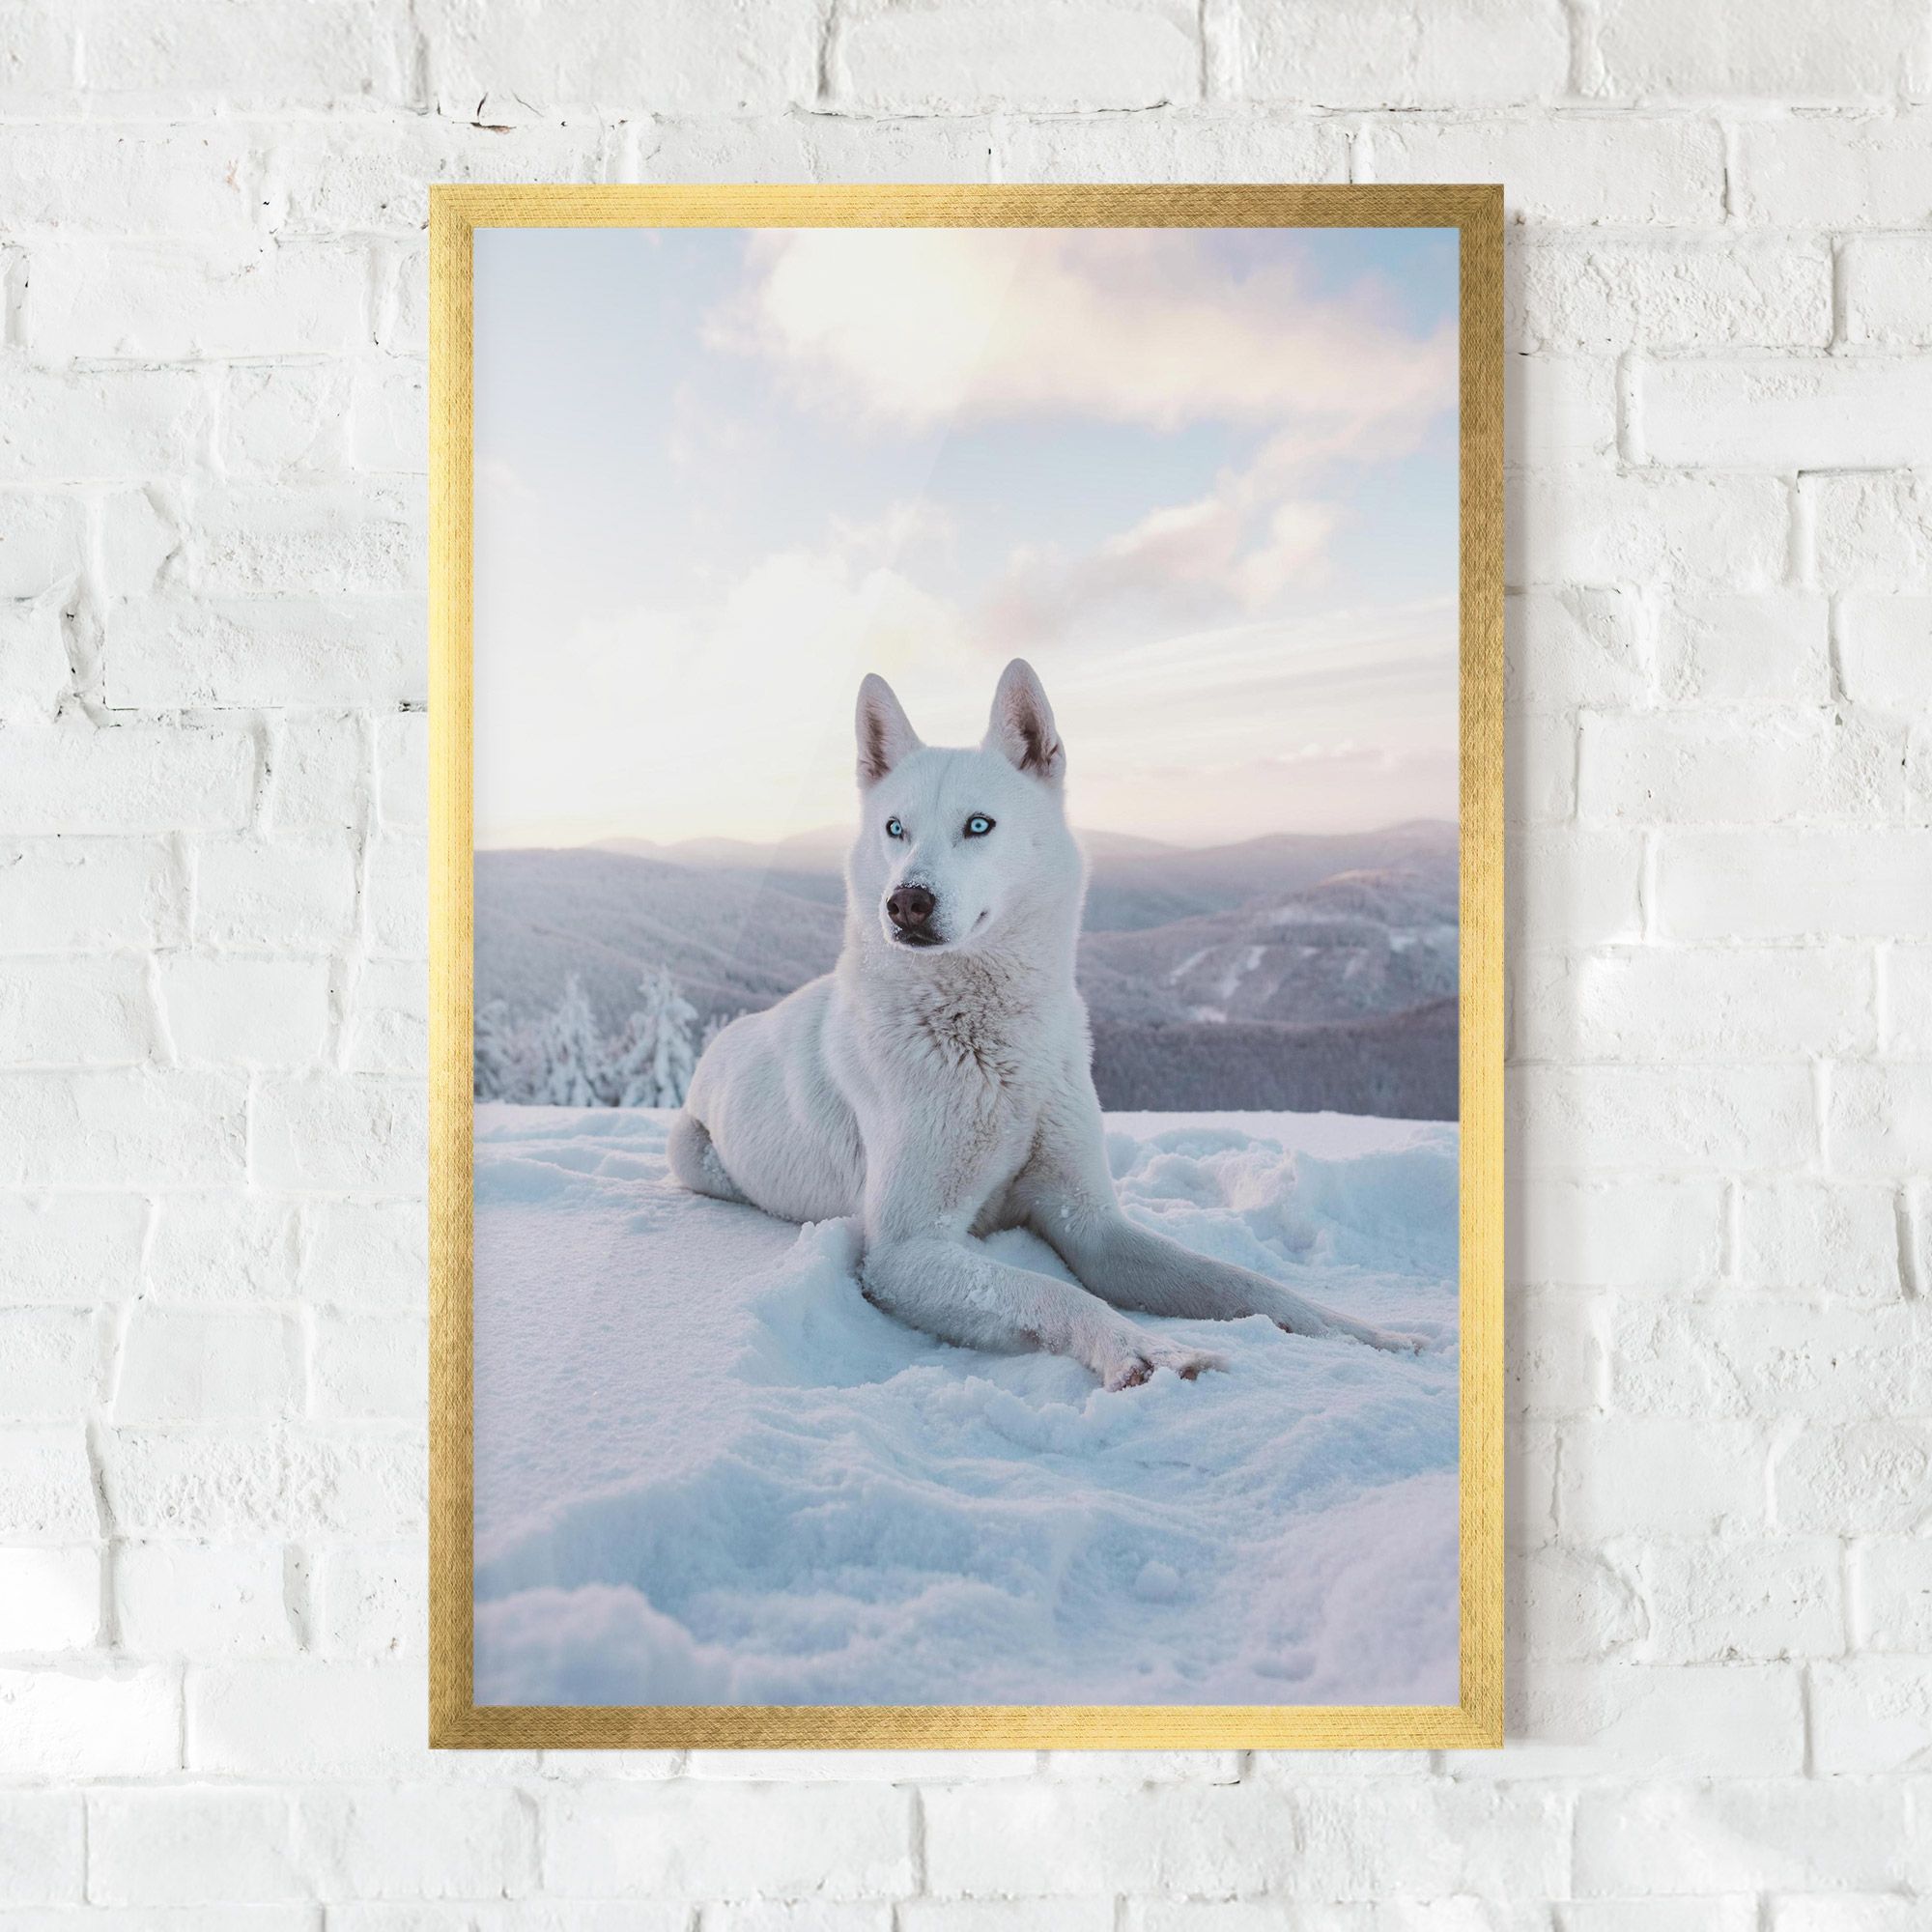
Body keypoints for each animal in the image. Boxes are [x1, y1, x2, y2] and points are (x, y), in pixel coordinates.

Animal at [668, 659, 1418, 1388]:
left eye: (978, 825)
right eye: (894, 829)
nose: (905, 902)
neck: (994, 1047)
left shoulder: (1091, 1224)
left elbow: (1241, 1282)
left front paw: (1364, 1333)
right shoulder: (908, 1250)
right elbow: (1053, 1292)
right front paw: (1145, 1350)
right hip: (694, 1155)